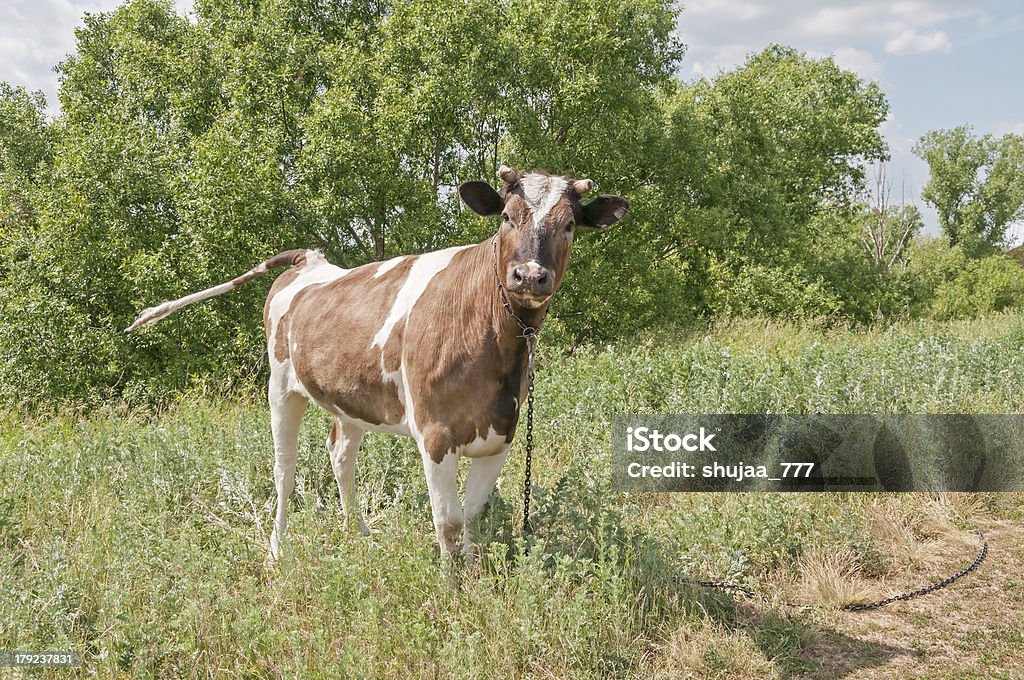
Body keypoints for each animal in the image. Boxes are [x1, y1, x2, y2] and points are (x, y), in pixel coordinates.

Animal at [125, 165, 622, 557]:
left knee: (340, 455)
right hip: (281, 387)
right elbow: (449, 524)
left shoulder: (501, 436)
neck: (497, 342)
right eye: (505, 217)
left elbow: (473, 521)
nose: (530, 276)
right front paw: (453, 594)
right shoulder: (435, 434)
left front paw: (475, 579)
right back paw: (278, 549)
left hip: (350, 399)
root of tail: (310, 260)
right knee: (284, 470)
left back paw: (356, 533)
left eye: (570, 225)